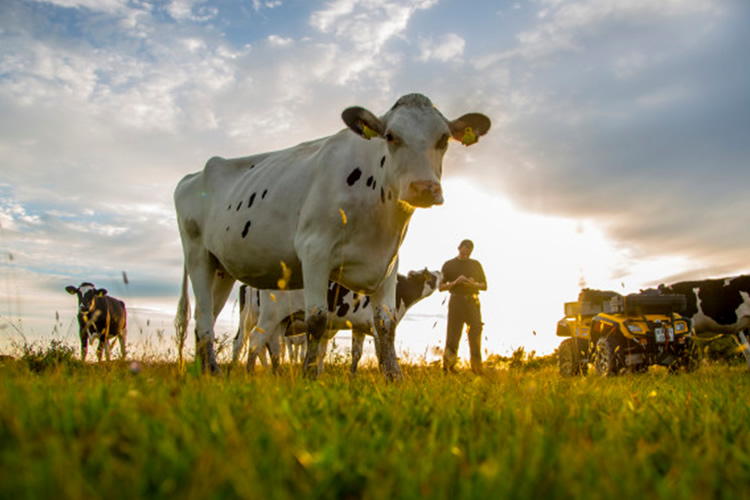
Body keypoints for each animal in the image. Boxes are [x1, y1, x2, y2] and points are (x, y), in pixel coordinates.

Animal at [235, 272, 444, 374]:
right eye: (432, 276)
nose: (443, 275)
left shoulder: (360, 328)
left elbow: (356, 354)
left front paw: (352, 376)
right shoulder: (378, 327)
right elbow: (382, 355)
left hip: (279, 319)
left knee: (270, 346)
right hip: (268, 315)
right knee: (255, 341)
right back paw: (249, 373)